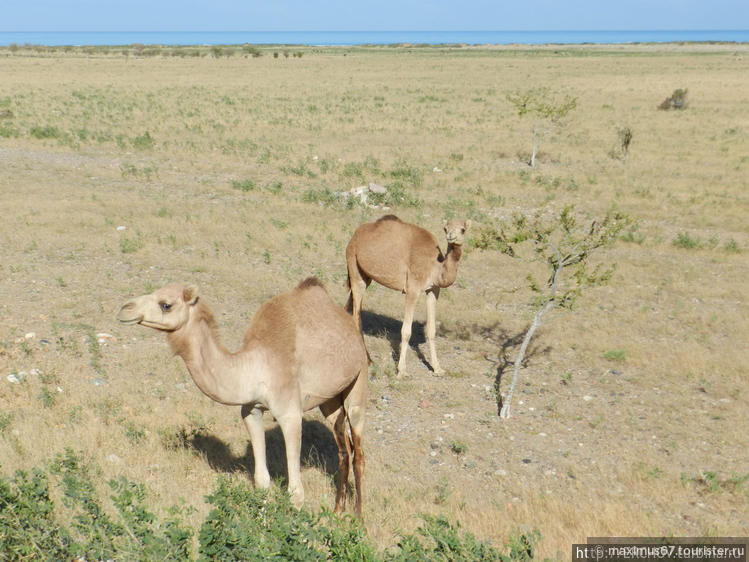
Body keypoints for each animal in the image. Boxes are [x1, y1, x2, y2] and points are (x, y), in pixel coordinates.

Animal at [116, 278, 368, 516]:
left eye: (166, 304)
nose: (124, 309)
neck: (254, 367)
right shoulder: (251, 410)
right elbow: (261, 480)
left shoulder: (290, 414)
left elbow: (295, 492)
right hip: (330, 400)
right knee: (343, 449)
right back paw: (337, 512)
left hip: (358, 382)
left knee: (358, 452)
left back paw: (358, 519)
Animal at [344, 214, 468, 376]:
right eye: (445, 228)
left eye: (463, 229)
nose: (451, 236)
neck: (435, 266)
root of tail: (355, 235)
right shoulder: (412, 289)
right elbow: (406, 331)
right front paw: (402, 371)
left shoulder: (433, 290)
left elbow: (431, 330)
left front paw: (437, 368)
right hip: (353, 264)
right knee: (356, 313)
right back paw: (367, 361)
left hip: (365, 274)